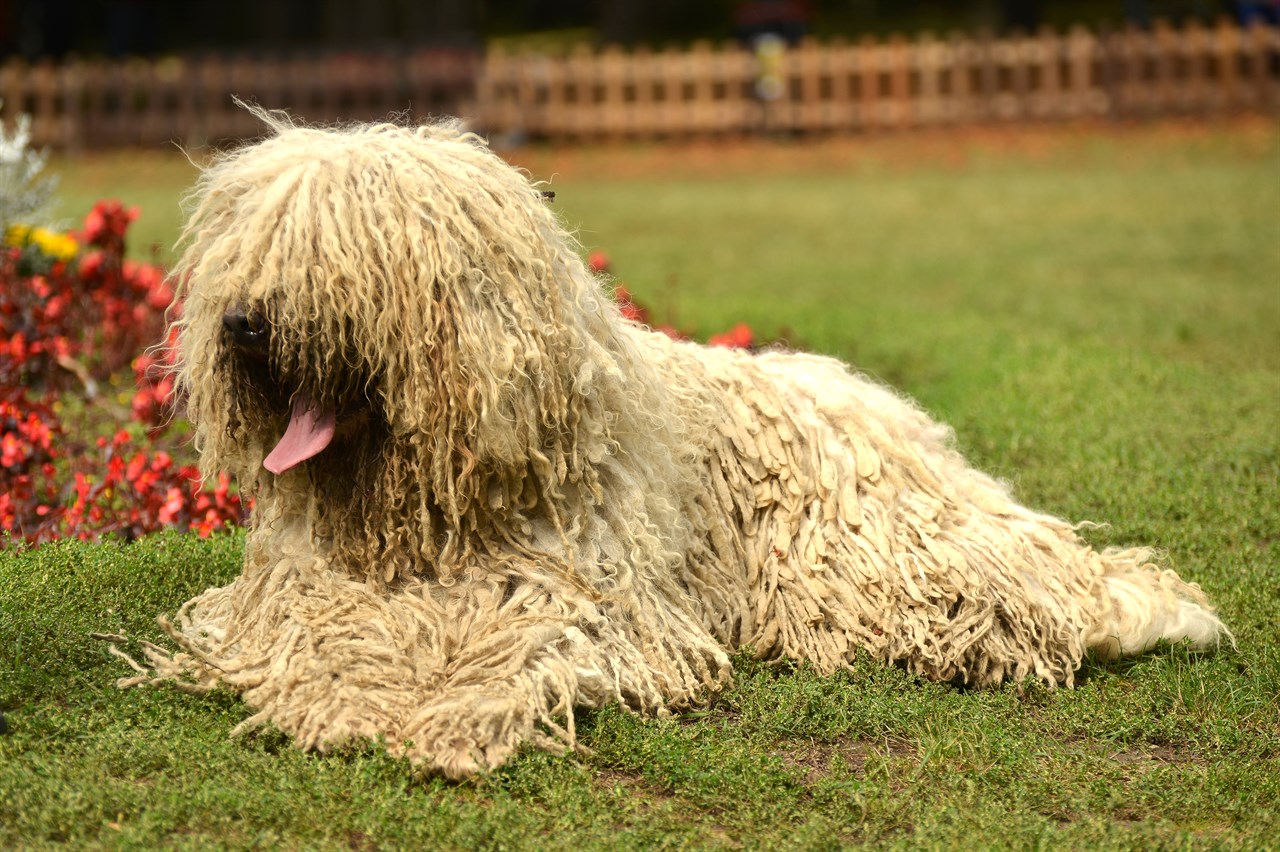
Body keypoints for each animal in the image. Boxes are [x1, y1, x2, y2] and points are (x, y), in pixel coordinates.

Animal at [117, 111, 1228, 777]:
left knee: (1034, 591)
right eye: (249, 247)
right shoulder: (308, 591)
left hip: (870, 563)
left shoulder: (585, 602)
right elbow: (319, 640)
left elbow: (522, 652)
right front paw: (347, 697)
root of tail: (899, 425)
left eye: (341, 250)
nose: (243, 322)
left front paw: (448, 716)